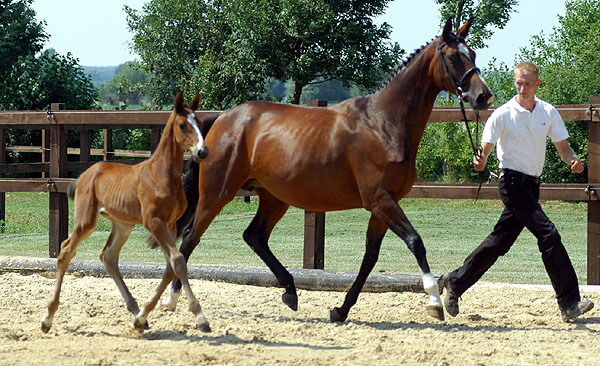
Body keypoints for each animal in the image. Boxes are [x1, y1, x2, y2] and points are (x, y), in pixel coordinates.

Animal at [41, 92, 213, 334]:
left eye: (198, 121)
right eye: (182, 124)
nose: (202, 151)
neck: (161, 175)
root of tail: (85, 174)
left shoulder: (170, 223)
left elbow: (170, 266)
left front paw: (142, 317)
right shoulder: (154, 222)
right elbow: (178, 260)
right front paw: (200, 317)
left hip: (123, 224)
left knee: (109, 256)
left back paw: (135, 311)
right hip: (86, 221)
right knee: (66, 251)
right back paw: (47, 318)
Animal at [164, 18, 492, 322]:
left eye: (473, 53)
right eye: (453, 57)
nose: (483, 96)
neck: (383, 122)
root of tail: (223, 119)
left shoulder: (382, 206)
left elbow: (370, 258)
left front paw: (341, 309)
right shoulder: (381, 200)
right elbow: (416, 242)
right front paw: (435, 302)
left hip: (273, 197)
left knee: (254, 236)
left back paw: (290, 292)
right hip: (218, 192)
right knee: (191, 236)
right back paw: (172, 299)